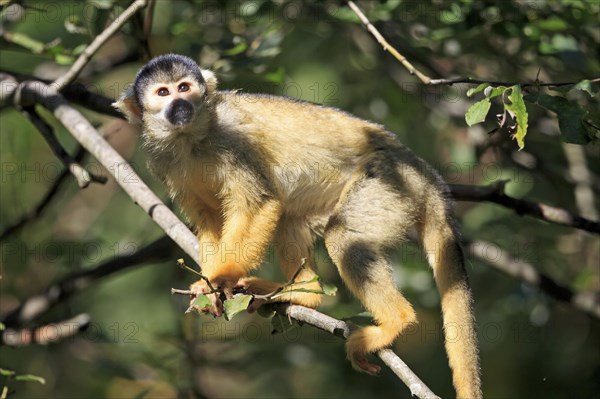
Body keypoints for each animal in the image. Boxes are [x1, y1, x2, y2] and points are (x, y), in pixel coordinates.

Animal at [113, 54, 482, 399]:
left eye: (185, 87)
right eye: (163, 92)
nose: (181, 105)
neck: (189, 137)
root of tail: (427, 176)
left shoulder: (232, 141)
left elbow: (261, 202)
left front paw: (222, 277)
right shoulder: (161, 161)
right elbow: (208, 216)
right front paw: (209, 286)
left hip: (391, 183)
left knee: (342, 236)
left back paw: (395, 321)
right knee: (291, 218)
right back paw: (304, 294)